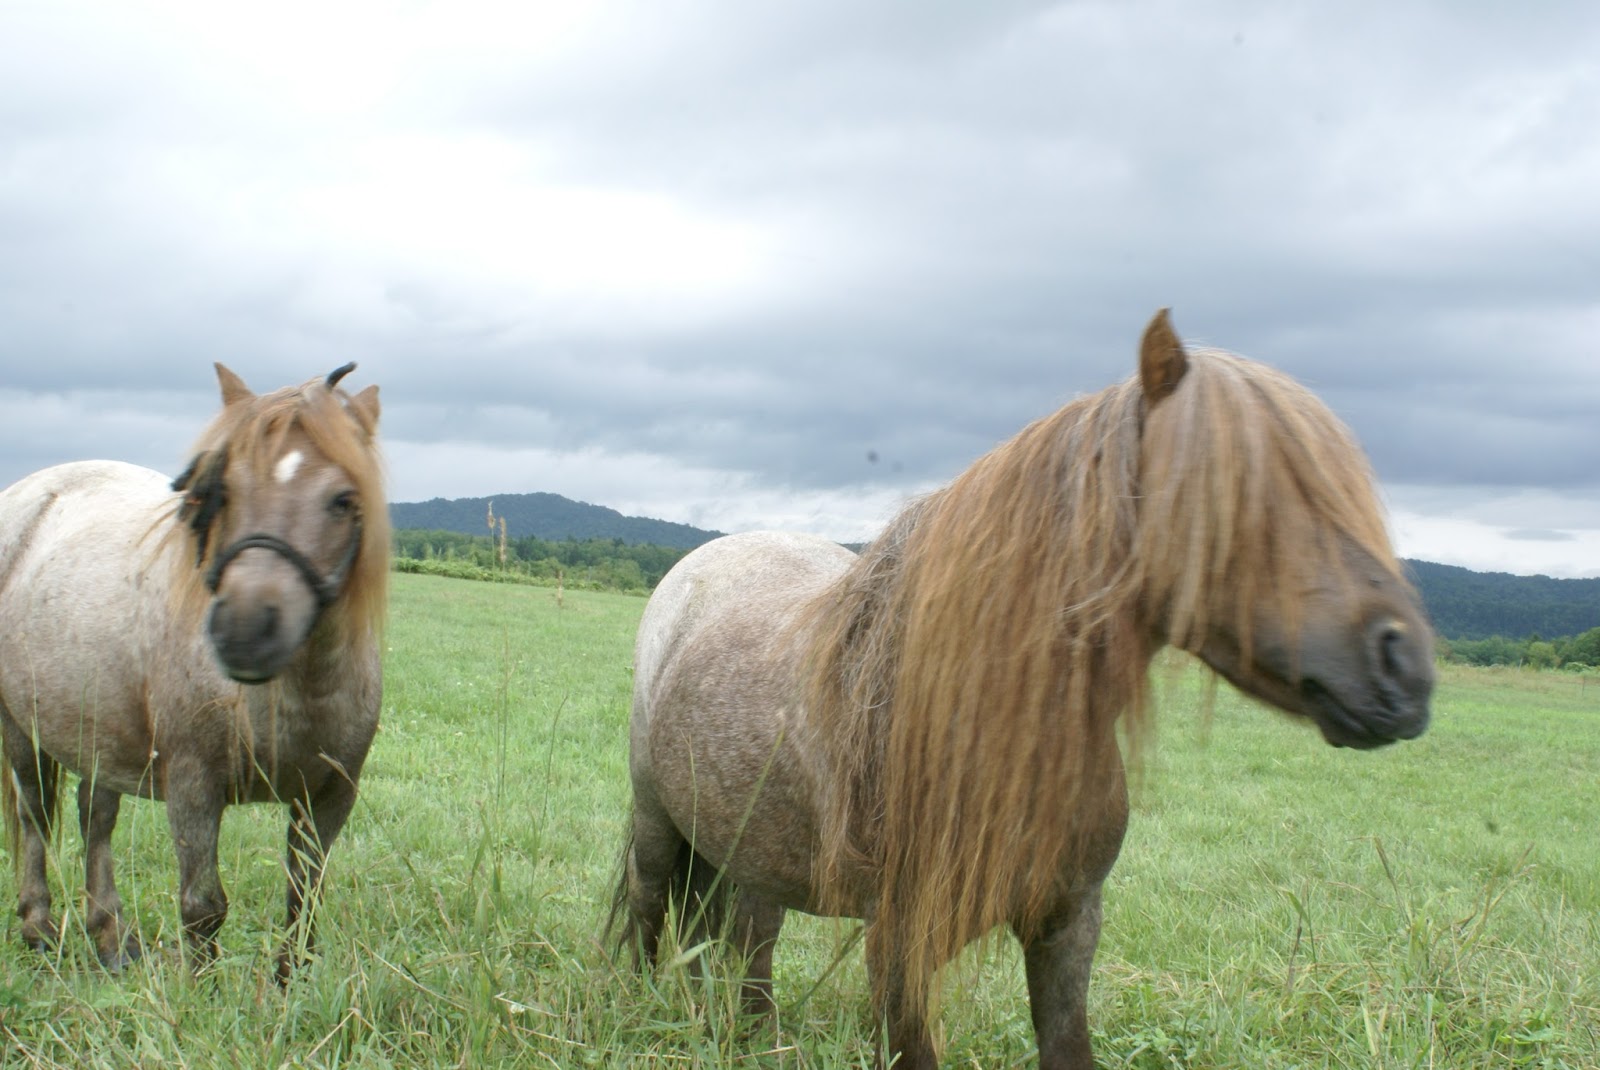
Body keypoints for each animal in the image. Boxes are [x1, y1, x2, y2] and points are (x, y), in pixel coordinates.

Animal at [0, 364, 387, 978]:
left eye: (344, 499)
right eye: (222, 489)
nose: (245, 632)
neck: (293, 693)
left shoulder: (329, 797)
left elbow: (303, 901)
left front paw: (290, 986)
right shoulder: (193, 788)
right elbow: (203, 907)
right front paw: (202, 991)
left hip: (96, 729)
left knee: (95, 818)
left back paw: (110, 938)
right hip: (21, 726)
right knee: (35, 810)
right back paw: (39, 929)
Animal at [614, 307, 1440, 1062]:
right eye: (1232, 486)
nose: (1406, 672)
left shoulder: (1068, 923)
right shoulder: (901, 945)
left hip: (750, 851)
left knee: (750, 942)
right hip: (658, 819)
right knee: (653, 913)